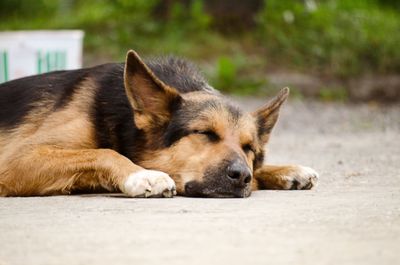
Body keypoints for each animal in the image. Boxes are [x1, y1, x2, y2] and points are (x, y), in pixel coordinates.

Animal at [0, 50, 318, 197]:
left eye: (249, 148)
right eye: (204, 133)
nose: (242, 177)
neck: (124, 119)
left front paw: (285, 170)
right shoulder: (16, 160)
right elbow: (104, 152)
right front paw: (142, 174)